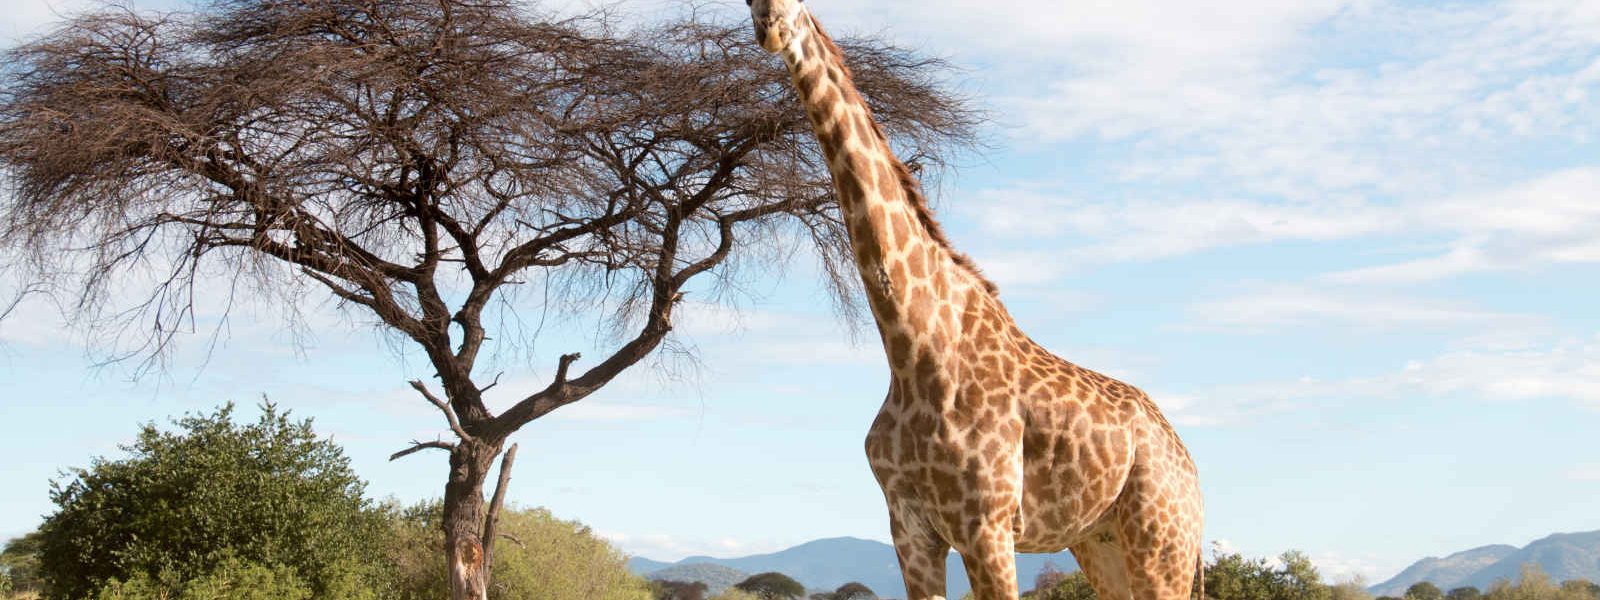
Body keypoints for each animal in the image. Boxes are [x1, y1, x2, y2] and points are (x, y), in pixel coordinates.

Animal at [745, 1, 1203, 600]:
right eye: (745, 4)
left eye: (800, 5)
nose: (771, 24)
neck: (912, 346)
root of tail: (1191, 472)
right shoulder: (910, 526)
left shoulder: (986, 523)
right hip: (1100, 543)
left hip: (1161, 543)